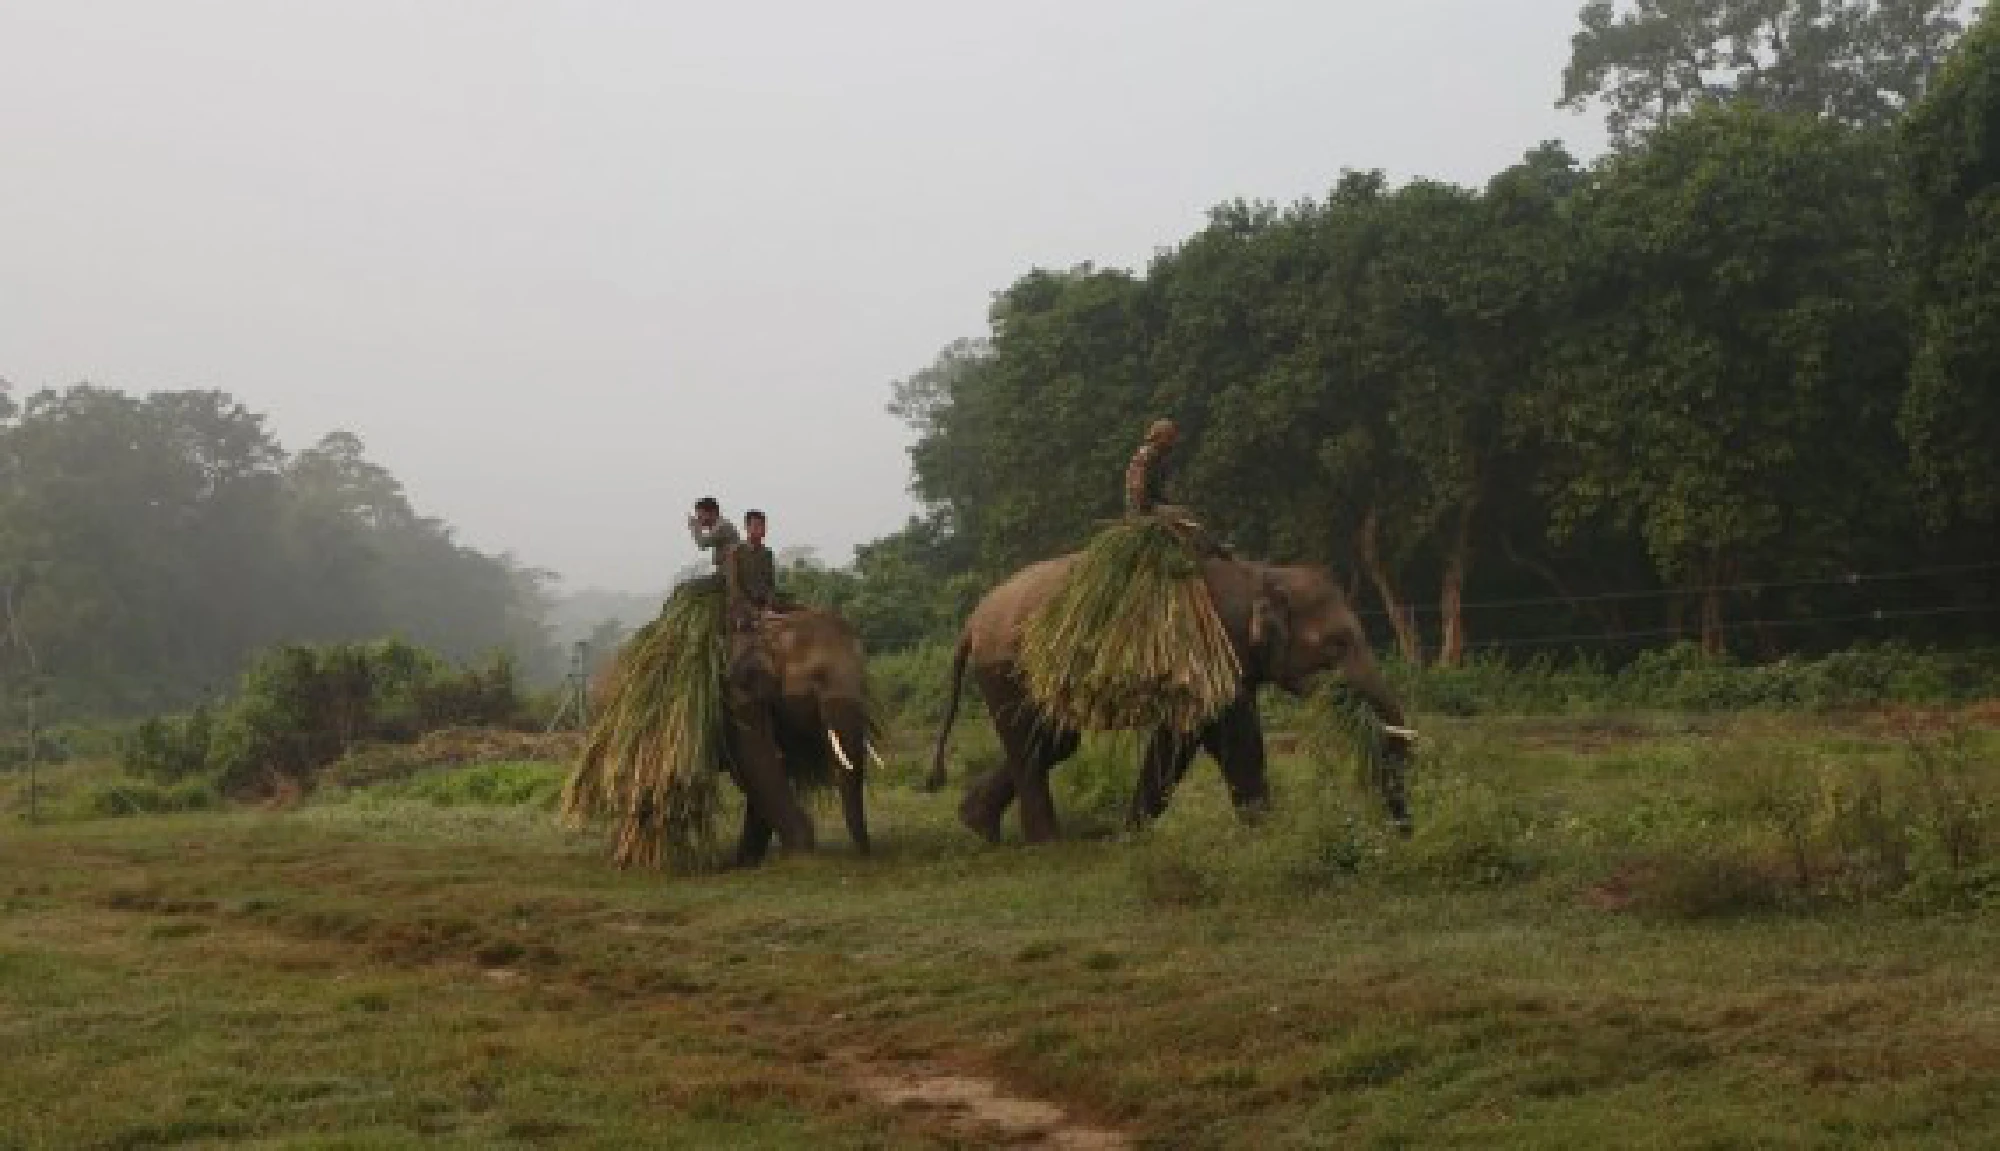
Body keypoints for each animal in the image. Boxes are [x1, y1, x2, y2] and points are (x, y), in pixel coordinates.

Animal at [925, 554, 1416, 844]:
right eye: (1337, 645)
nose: (1402, 833)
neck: (1258, 572)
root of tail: (970, 623)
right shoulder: (1210, 650)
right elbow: (1232, 743)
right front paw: (1270, 836)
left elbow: (1186, 741)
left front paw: (1131, 835)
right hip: (1007, 671)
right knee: (1033, 745)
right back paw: (1047, 843)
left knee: (1055, 742)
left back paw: (977, 824)